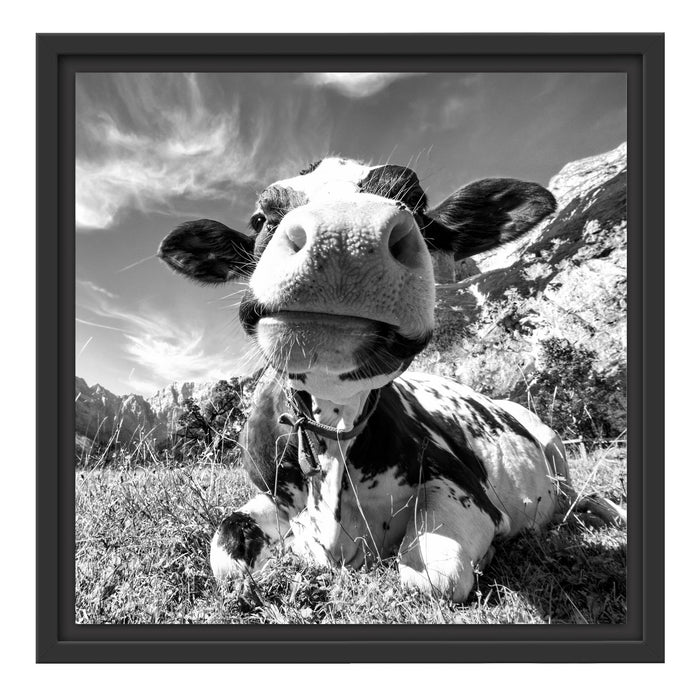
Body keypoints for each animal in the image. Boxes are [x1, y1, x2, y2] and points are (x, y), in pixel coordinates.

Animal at [158, 157, 625, 603]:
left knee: (581, 495)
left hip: (555, 447)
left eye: (416, 202)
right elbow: (227, 553)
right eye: (260, 218)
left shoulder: (467, 490)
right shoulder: (268, 494)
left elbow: (432, 576)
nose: (345, 235)